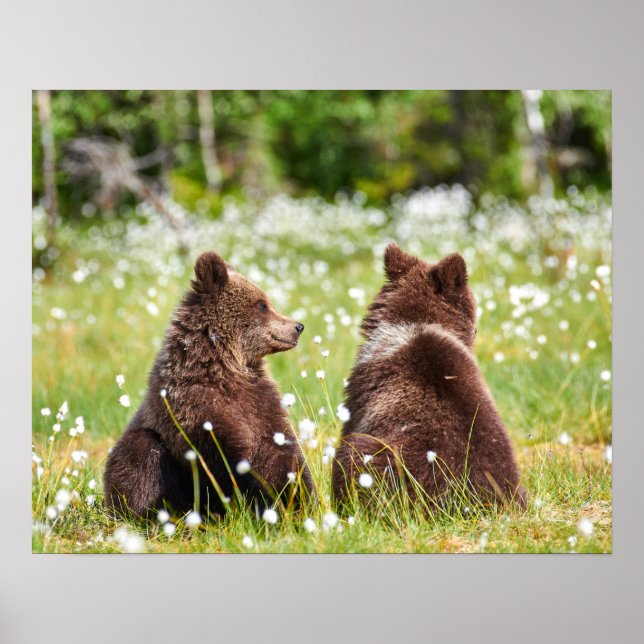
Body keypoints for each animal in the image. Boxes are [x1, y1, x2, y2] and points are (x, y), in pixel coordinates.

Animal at [104, 251, 313, 518]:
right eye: (262, 305)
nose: (298, 326)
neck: (226, 368)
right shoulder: (195, 407)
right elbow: (223, 459)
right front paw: (254, 503)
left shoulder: (260, 402)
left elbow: (281, 452)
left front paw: (297, 501)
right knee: (141, 456)